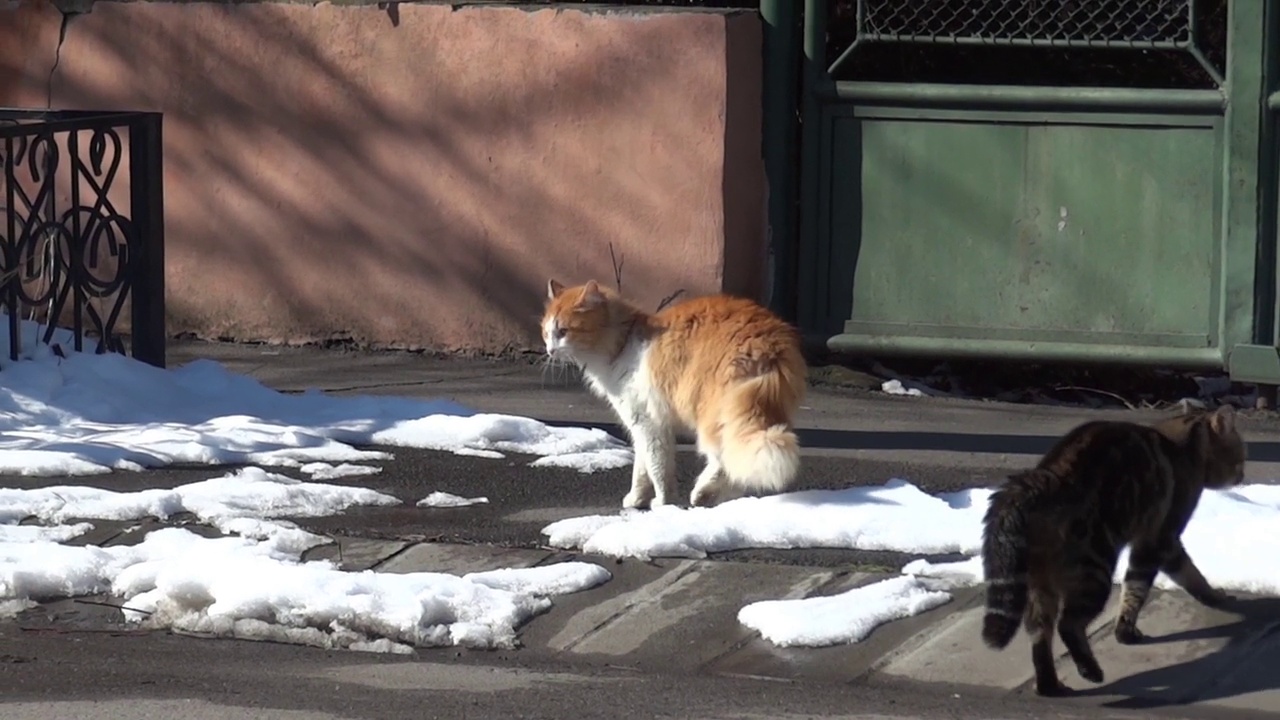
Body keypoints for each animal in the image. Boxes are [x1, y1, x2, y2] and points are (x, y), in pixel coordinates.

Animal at [542, 278, 808, 507]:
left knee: (722, 456)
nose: (549, 350)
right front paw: (637, 499)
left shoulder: (648, 424)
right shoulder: (646, 426)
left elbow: (656, 467)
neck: (622, 342)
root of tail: (765, 341)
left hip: (712, 413)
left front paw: (662, 502)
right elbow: (642, 468)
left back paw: (702, 492)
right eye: (546, 333)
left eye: (563, 331)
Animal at [977, 404, 1239, 691]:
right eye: (1241, 453)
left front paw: (1211, 595)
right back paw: (1089, 669)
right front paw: (1126, 629)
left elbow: (1189, 573)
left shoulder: (1163, 543)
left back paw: (1050, 686)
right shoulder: (1158, 538)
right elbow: (1140, 586)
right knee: (1068, 625)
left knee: (1039, 632)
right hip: (1095, 569)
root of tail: (1039, 479)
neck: (1185, 445)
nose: (1242, 474)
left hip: (1040, 582)